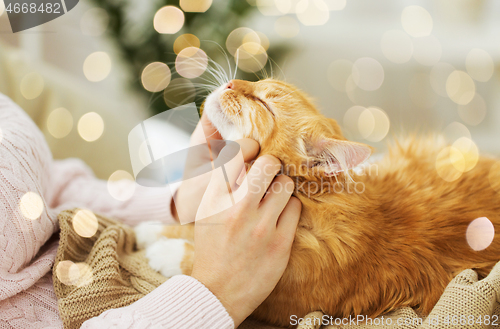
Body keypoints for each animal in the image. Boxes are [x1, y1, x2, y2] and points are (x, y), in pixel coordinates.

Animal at [134, 78, 500, 326]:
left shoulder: (279, 303)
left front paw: (166, 250)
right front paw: (156, 228)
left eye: (264, 103)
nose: (230, 82)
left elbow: (197, 262)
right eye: (257, 83)